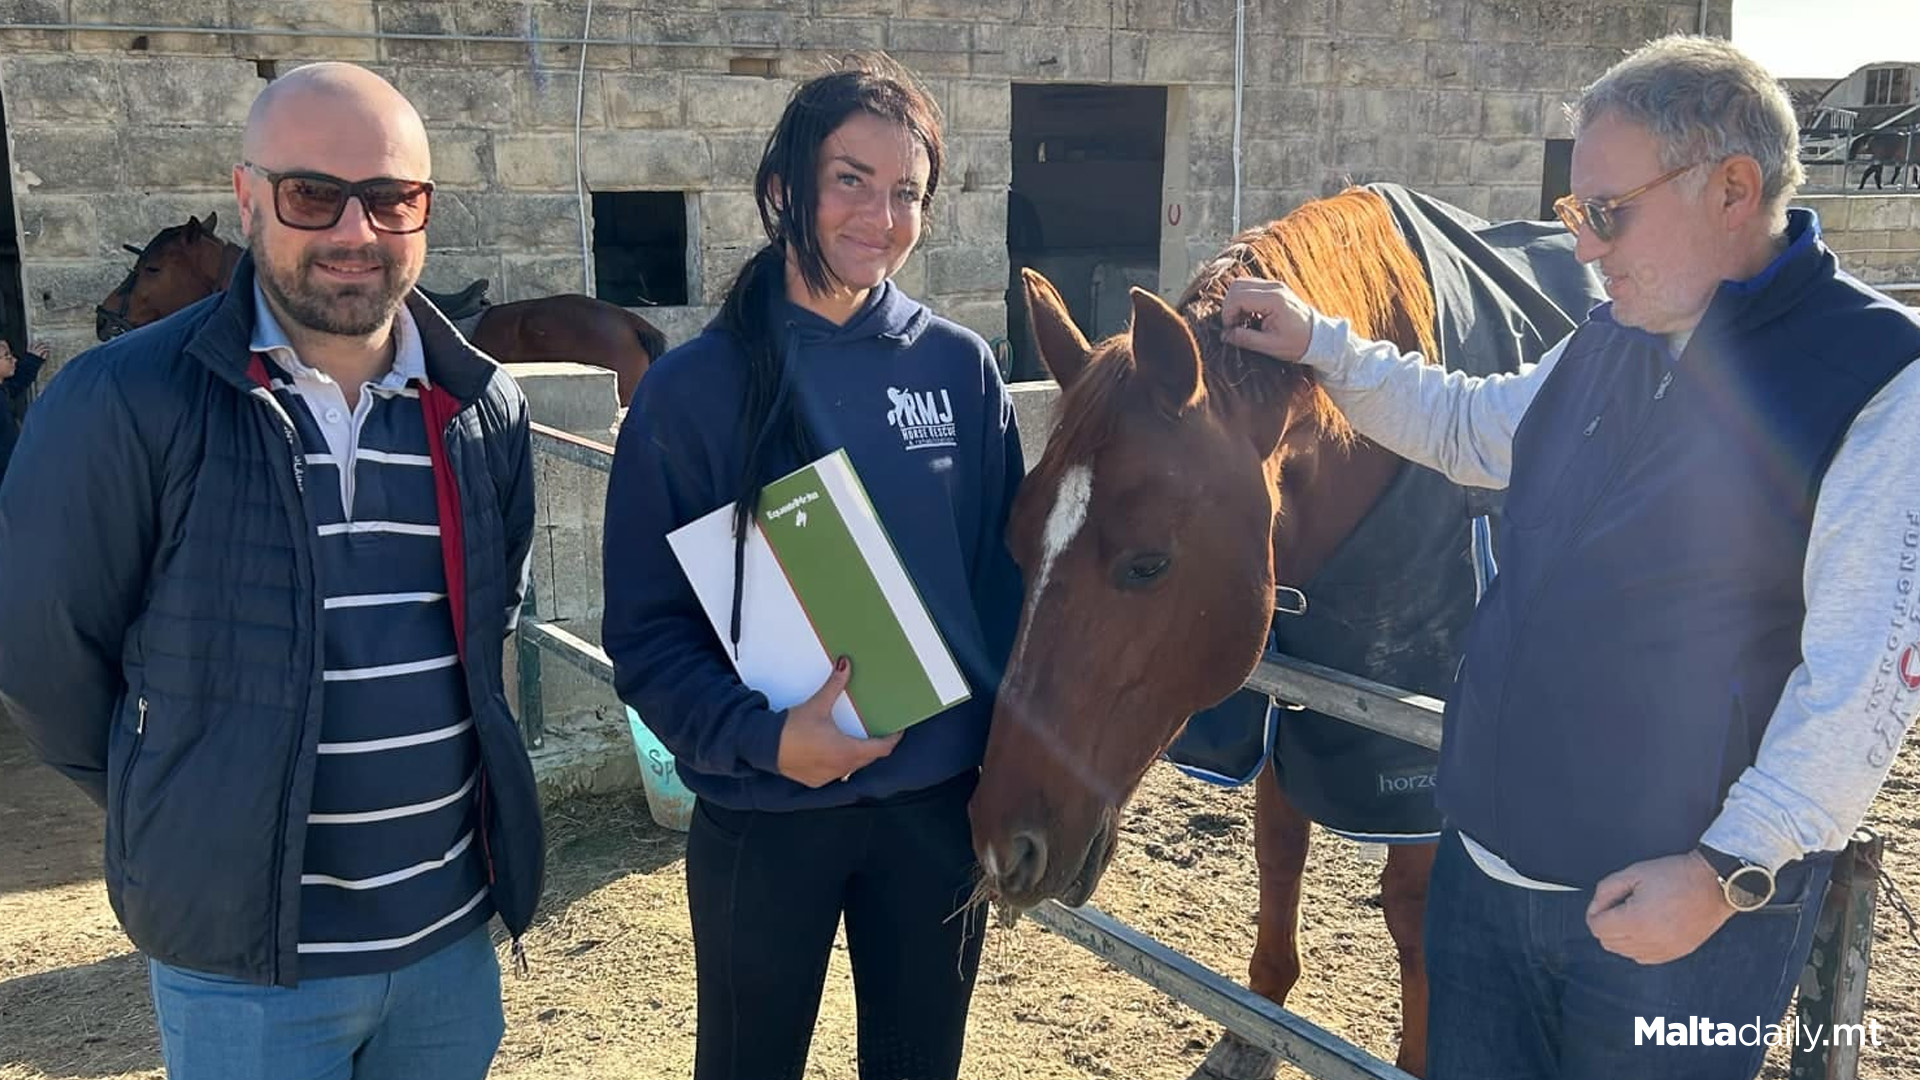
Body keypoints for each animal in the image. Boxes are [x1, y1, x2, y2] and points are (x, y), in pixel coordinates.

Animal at [975, 189, 1443, 1068]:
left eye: (1149, 563)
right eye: (1015, 544)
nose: (1000, 844)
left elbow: (1411, 909)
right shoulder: (1287, 712)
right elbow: (1278, 851)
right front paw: (1254, 1027)